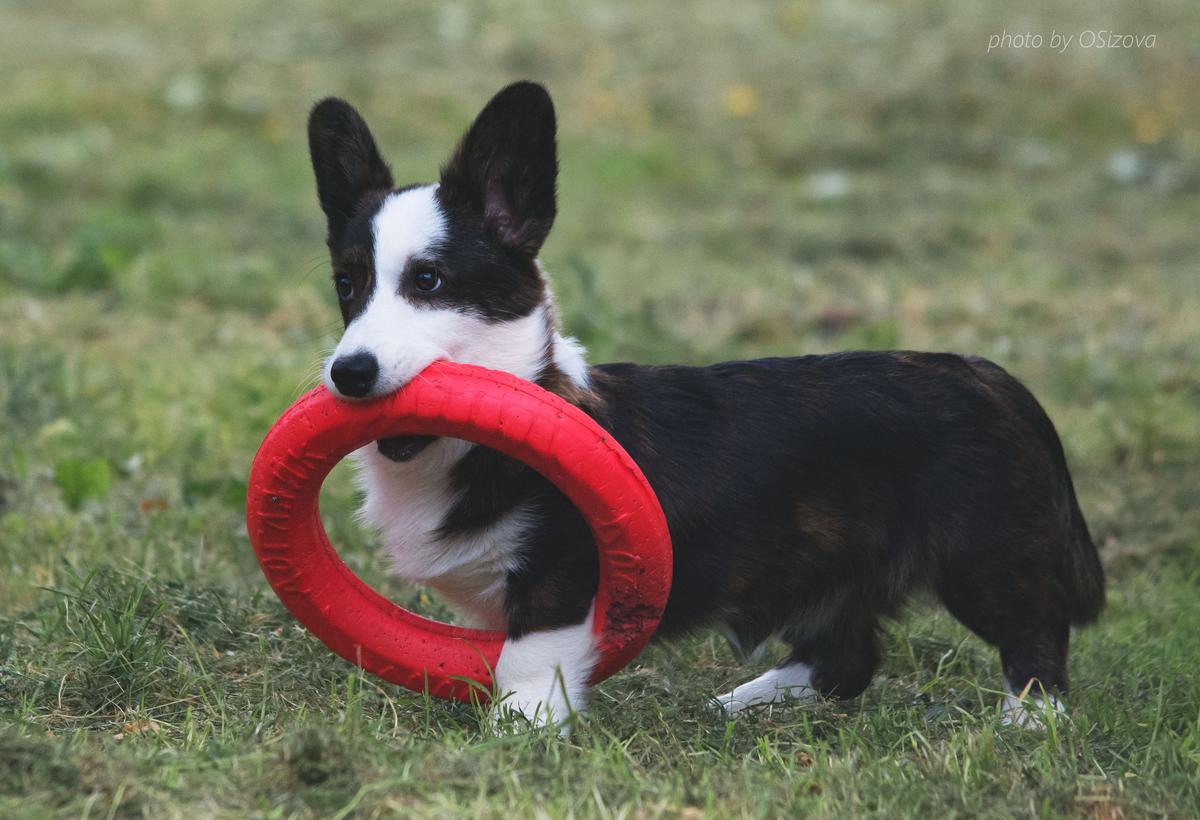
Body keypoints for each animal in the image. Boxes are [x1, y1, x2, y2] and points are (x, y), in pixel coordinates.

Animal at [307, 80, 1104, 729]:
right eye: (347, 285)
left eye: (430, 280)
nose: (349, 372)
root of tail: (997, 380)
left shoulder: (562, 575)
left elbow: (527, 663)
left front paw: (516, 737)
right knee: (845, 658)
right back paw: (745, 704)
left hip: (984, 556)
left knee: (1034, 629)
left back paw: (1030, 719)